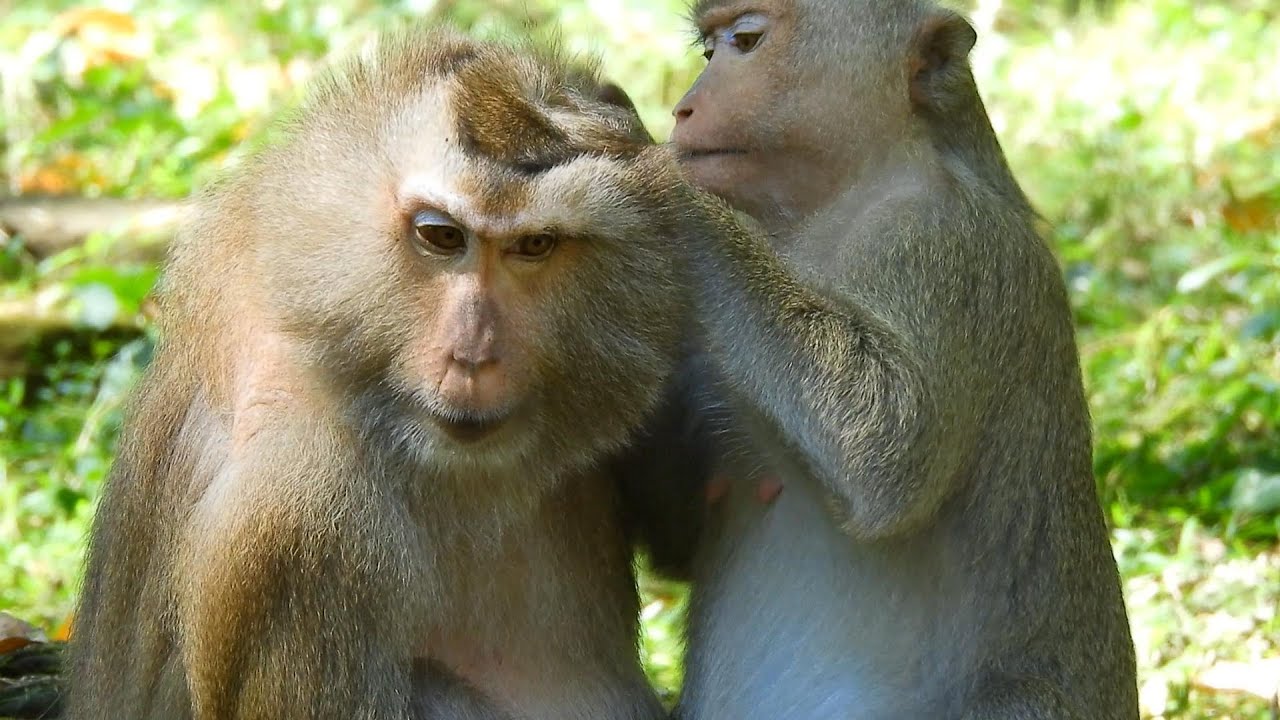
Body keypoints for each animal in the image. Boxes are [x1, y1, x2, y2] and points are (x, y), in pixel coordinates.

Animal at [621, 0, 1141, 717]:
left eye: (746, 42)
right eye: (708, 51)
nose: (684, 107)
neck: (840, 197)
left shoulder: (939, 242)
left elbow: (893, 450)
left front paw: (653, 177)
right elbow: (682, 541)